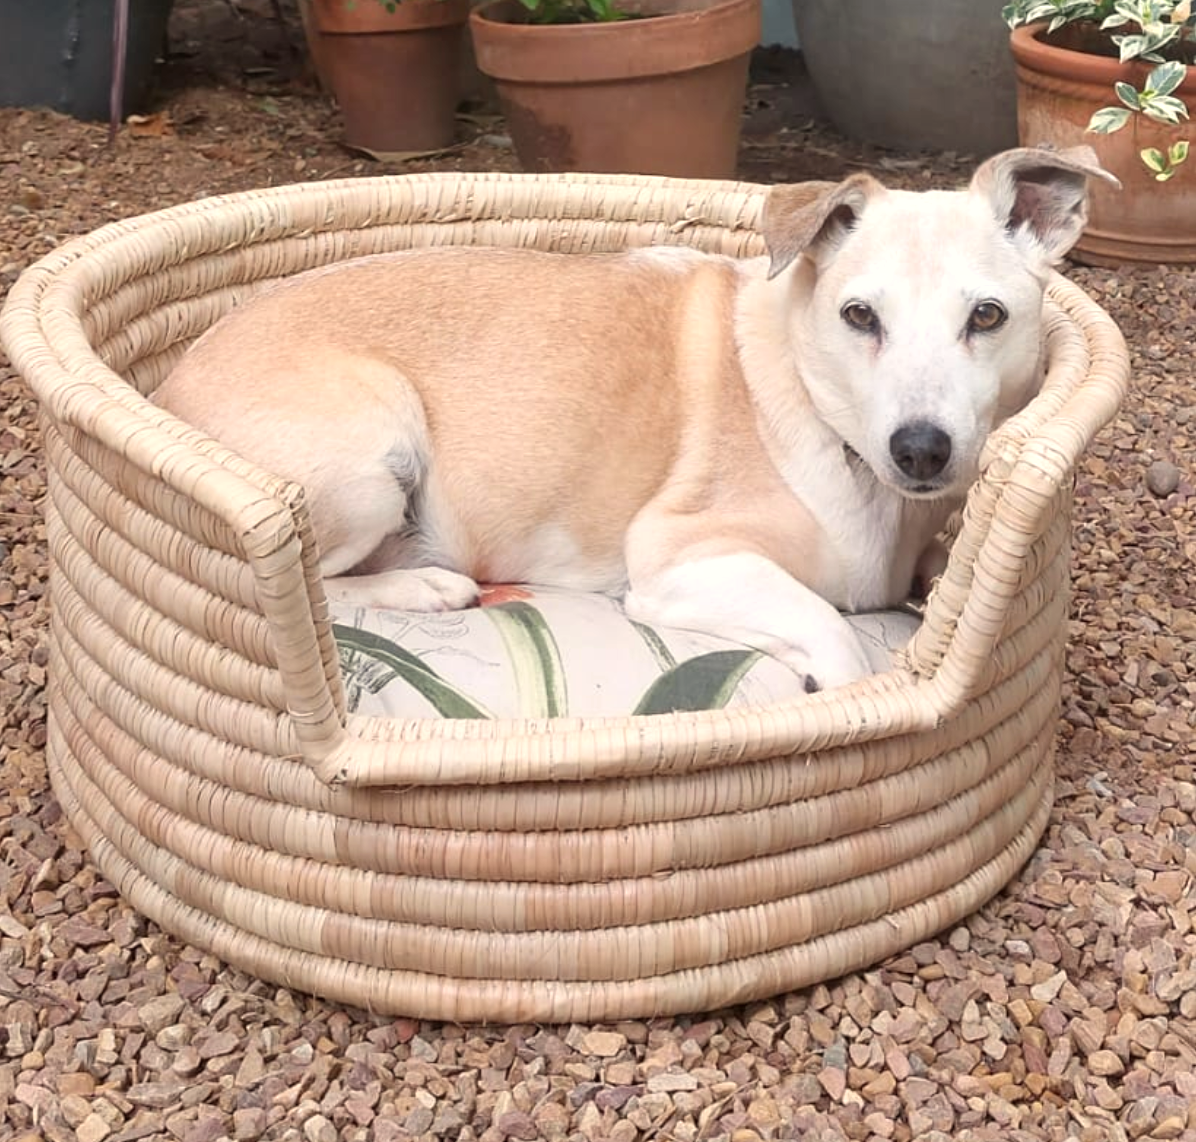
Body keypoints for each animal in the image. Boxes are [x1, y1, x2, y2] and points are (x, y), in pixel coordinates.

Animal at [154, 147, 1114, 693]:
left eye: (986, 317)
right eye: (858, 316)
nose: (920, 451)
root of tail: (166, 390)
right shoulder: (678, 563)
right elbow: (837, 637)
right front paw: (823, 682)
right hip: (371, 455)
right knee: (311, 589)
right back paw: (424, 586)